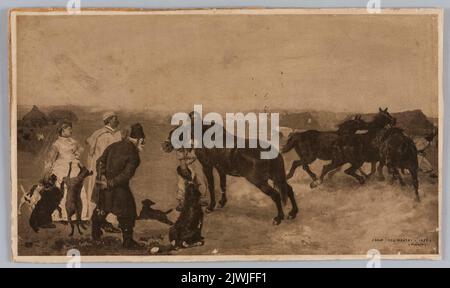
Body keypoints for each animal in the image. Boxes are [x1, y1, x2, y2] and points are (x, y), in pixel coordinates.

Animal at [163, 124, 298, 225]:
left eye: (176, 134)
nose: (165, 146)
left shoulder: (207, 167)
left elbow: (211, 186)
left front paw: (210, 207)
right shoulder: (221, 169)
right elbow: (222, 185)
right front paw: (222, 202)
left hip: (259, 181)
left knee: (276, 195)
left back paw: (278, 218)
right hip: (274, 177)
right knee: (289, 190)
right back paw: (293, 213)